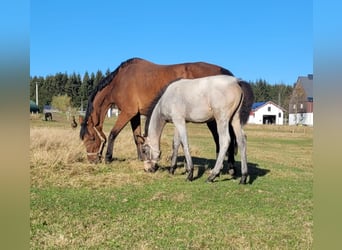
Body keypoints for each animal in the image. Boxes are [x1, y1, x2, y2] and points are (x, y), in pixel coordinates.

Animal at [80, 58, 250, 167]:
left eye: (91, 138)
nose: (92, 160)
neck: (120, 81)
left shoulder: (127, 112)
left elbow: (113, 134)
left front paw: (108, 157)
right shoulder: (135, 115)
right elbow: (137, 137)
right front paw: (142, 157)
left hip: (214, 119)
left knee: (221, 140)